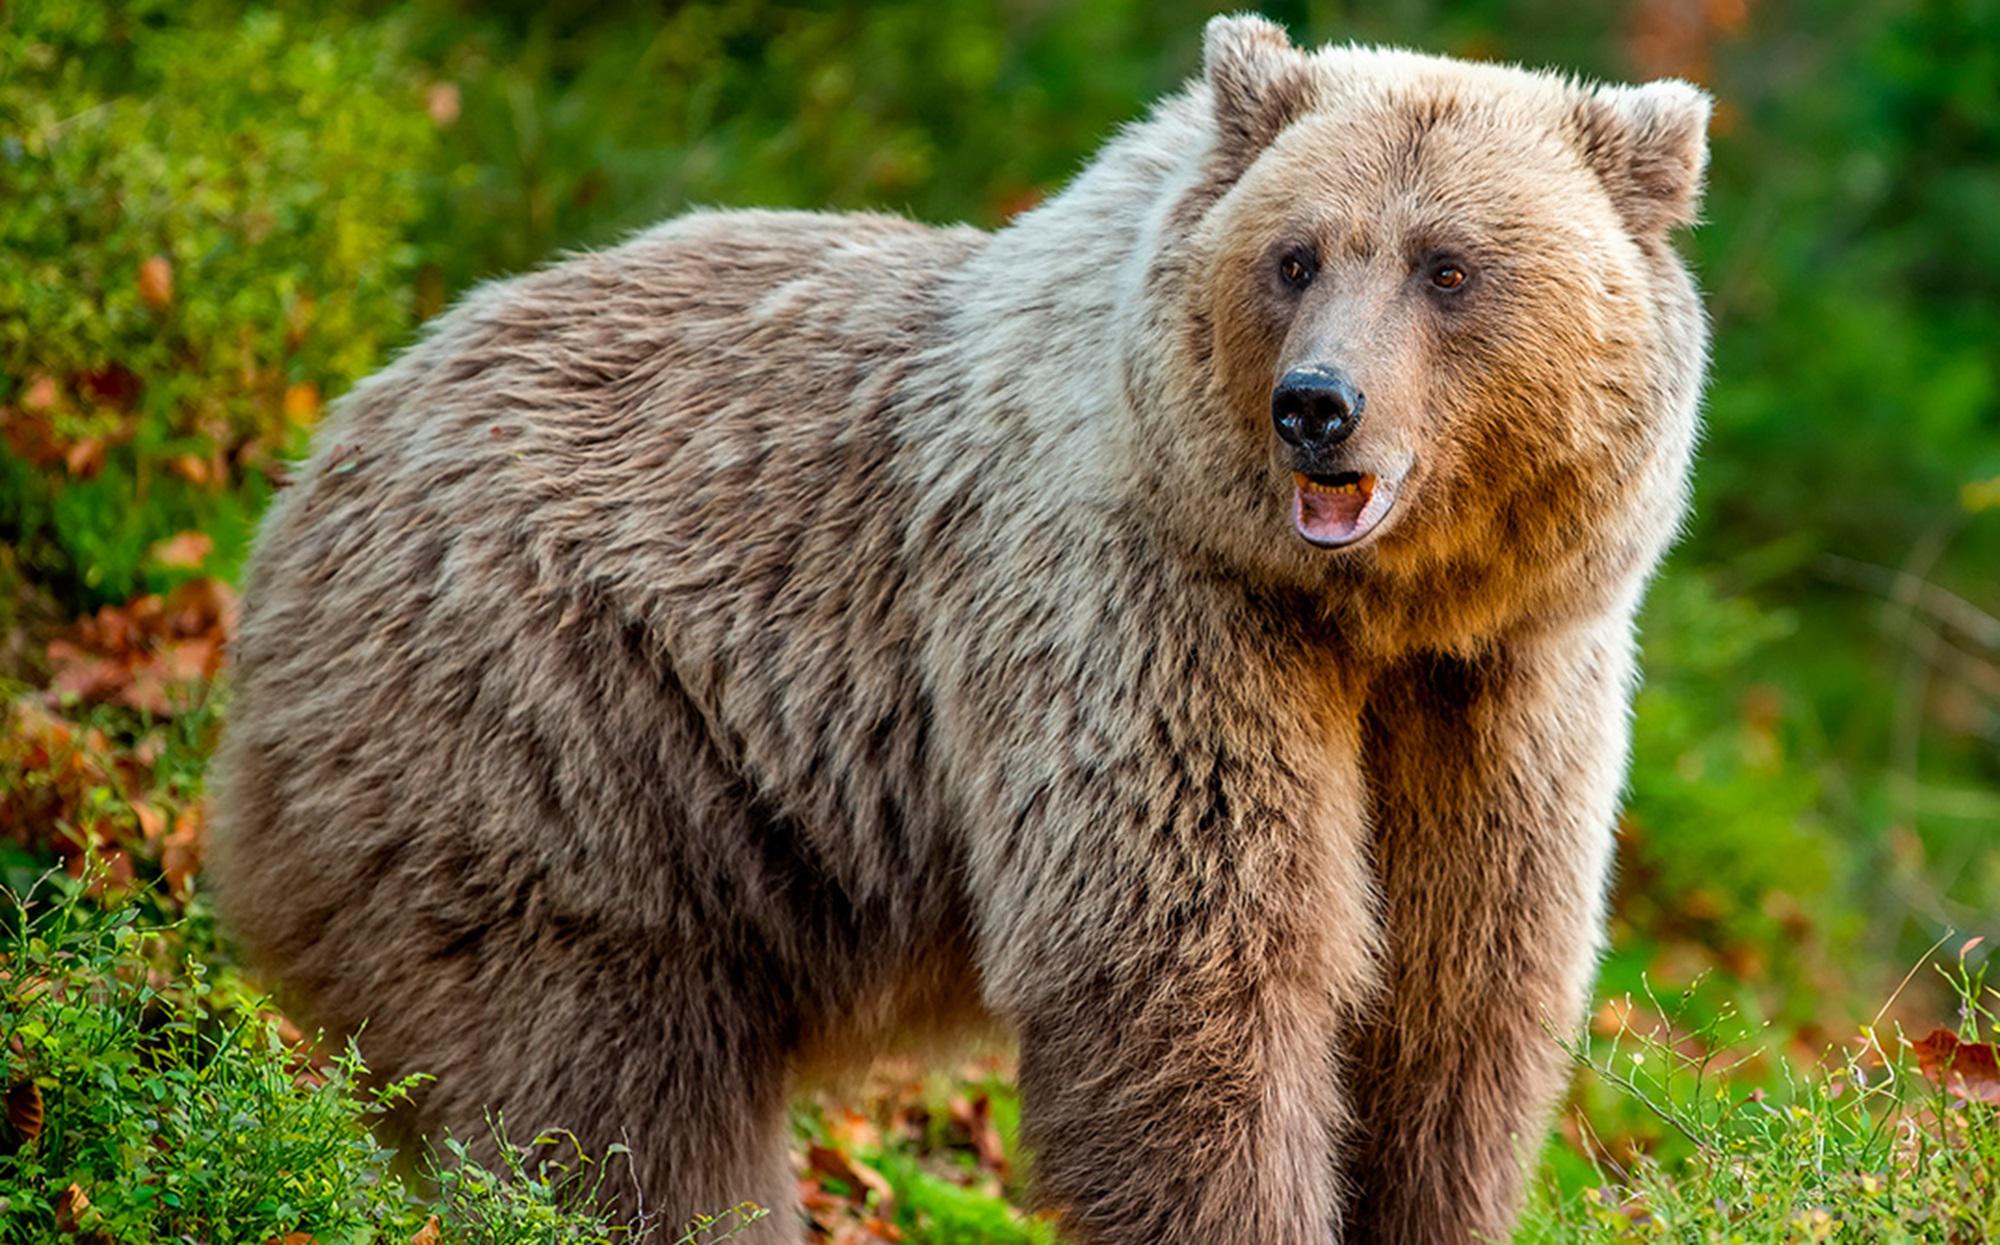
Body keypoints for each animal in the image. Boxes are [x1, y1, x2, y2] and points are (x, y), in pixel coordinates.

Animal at [207, 12, 1704, 1245]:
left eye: (1448, 267)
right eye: (1297, 256)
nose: (1316, 405)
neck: (1365, 608)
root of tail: (314, 465)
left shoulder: (1502, 683)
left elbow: (1457, 1000)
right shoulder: (1146, 609)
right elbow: (1192, 967)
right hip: (556, 746)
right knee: (616, 1105)